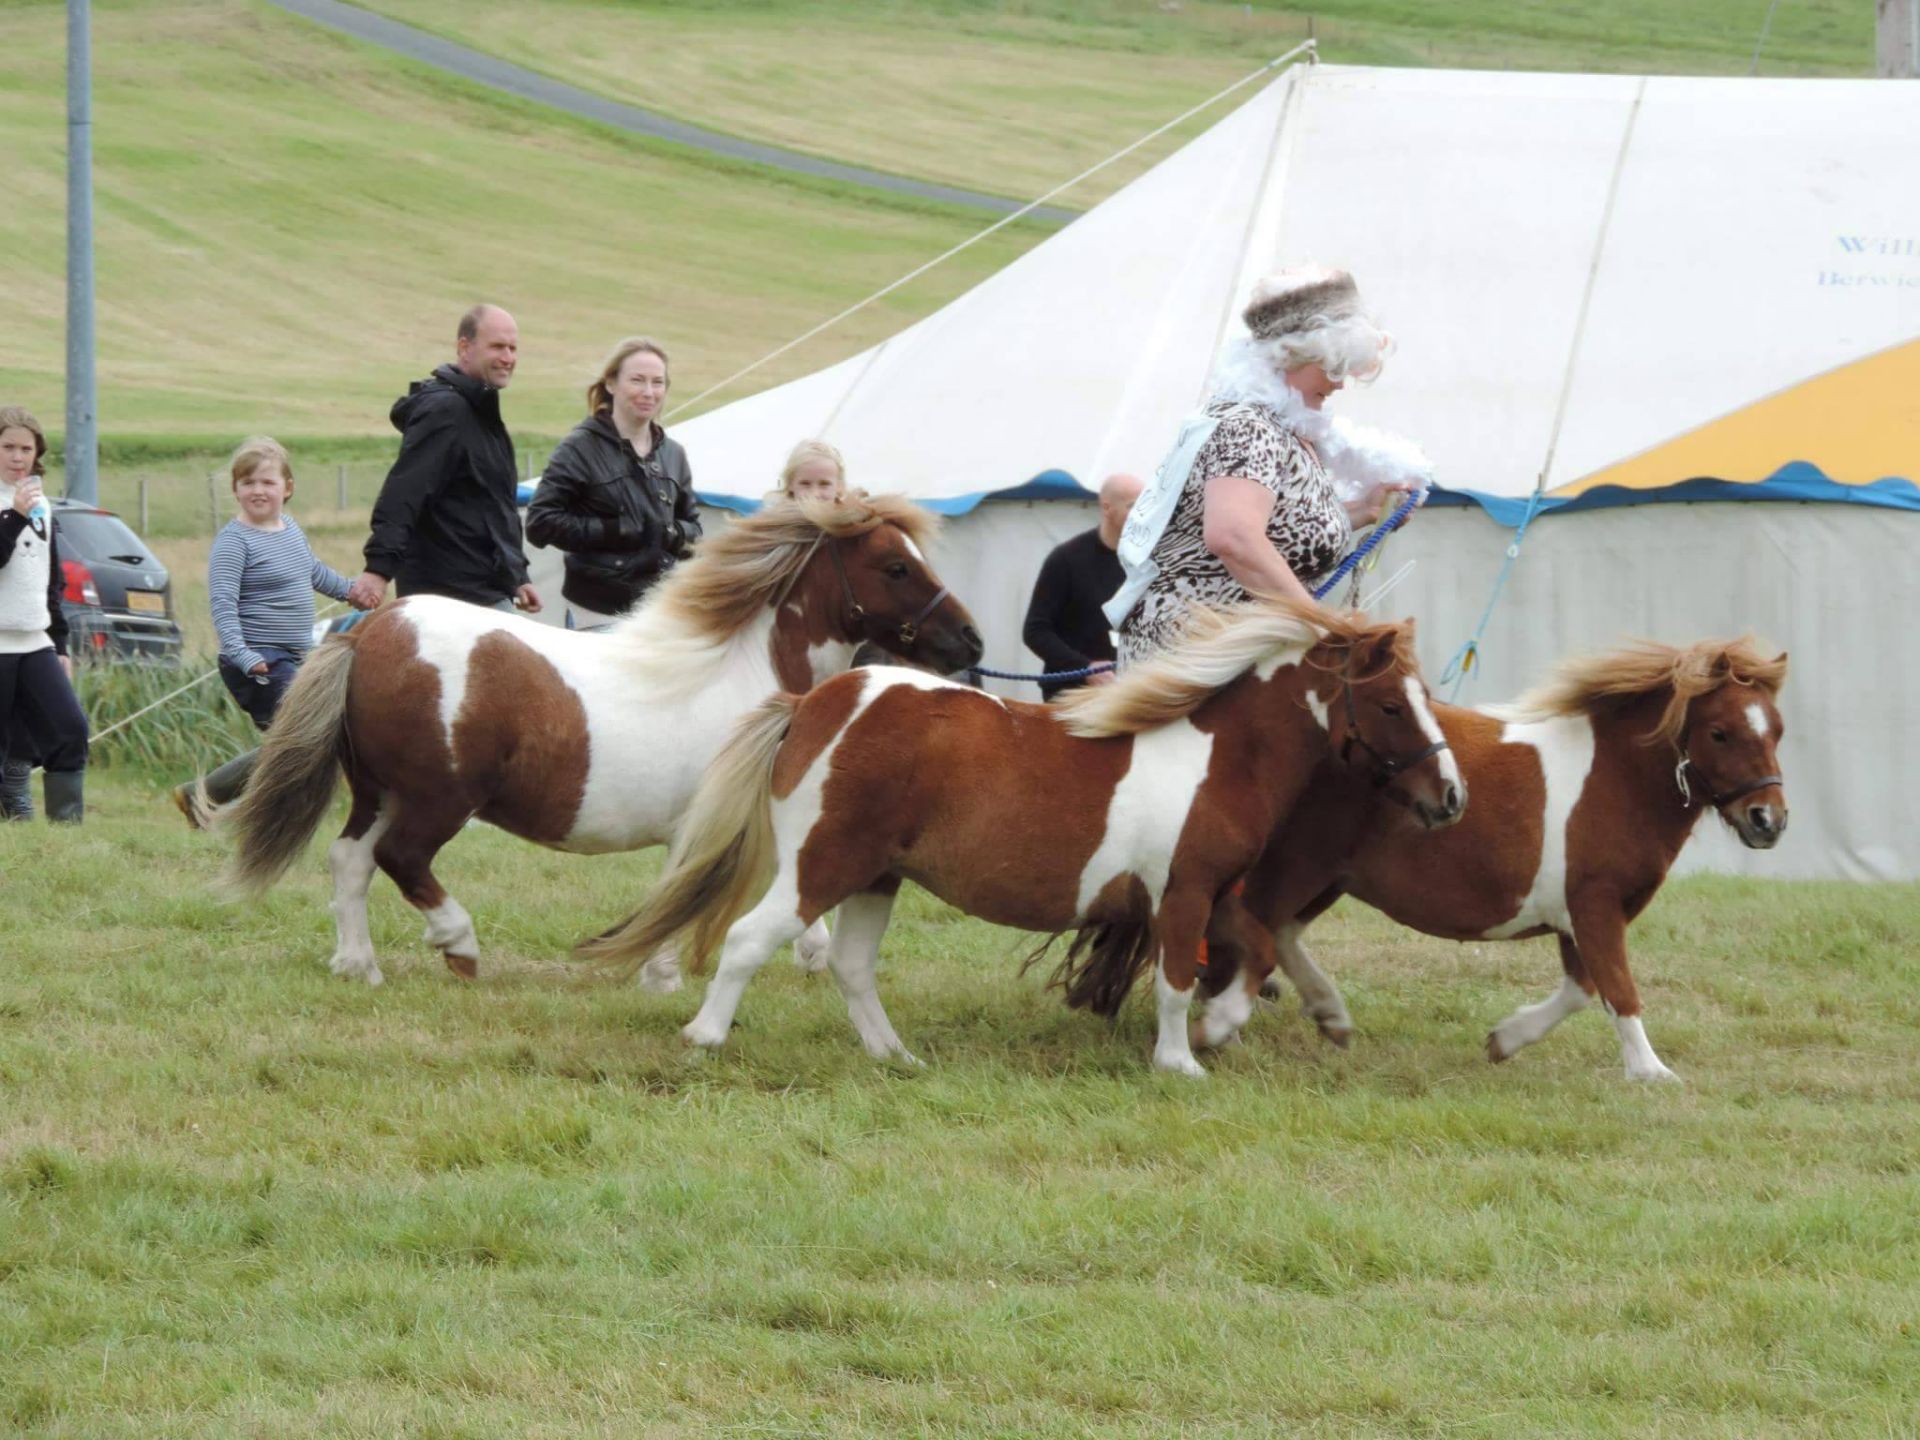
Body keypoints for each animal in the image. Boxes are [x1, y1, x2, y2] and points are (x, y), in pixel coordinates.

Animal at [217, 491, 983, 990]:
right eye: (895, 566)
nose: (969, 642)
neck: (742, 670)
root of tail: (369, 631)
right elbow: (692, 895)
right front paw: (664, 977)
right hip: (438, 800)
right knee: (402, 861)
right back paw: (460, 948)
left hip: (378, 793)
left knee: (349, 861)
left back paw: (359, 966)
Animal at [576, 595, 1459, 1075]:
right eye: (1390, 704)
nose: (1449, 798)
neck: (1217, 754)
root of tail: (817, 703)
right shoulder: (1182, 893)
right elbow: (1177, 980)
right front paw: (1181, 1059)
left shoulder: (1215, 894)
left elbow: (1262, 951)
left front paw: (1242, 1027)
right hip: (821, 866)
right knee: (751, 939)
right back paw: (705, 1036)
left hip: (877, 877)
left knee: (854, 969)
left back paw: (896, 1056)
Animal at [1205, 641, 1789, 1082]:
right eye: (1719, 732)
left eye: (1777, 730)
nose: (1769, 820)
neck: (1616, 777)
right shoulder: (1595, 904)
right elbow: (1617, 989)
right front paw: (1650, 1071)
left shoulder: (1582, 916)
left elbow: (1581, 990)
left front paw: (1506, 1040)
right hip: (1297, 867)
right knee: (1247, 930)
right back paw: (1223, 1026)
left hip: (1325, 877)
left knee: (1277, 934)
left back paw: (1326, 1013)